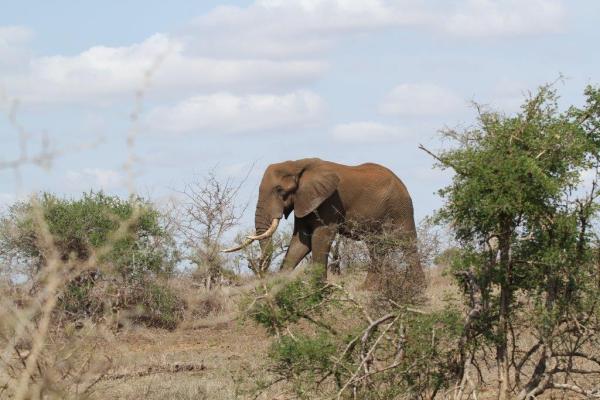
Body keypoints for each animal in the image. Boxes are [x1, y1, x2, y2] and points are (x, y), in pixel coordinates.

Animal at [223, 158, 424, 286]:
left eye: (280, 190)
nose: (259, 272)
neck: (297, 165)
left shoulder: (329, 200)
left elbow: (320, 238)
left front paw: (318, 289)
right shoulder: (304, 201)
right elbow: (300, 242)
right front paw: (278, 285)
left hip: (401, 207)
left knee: (407, 243)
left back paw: (417, 287)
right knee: (376, 247)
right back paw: (368, 289)